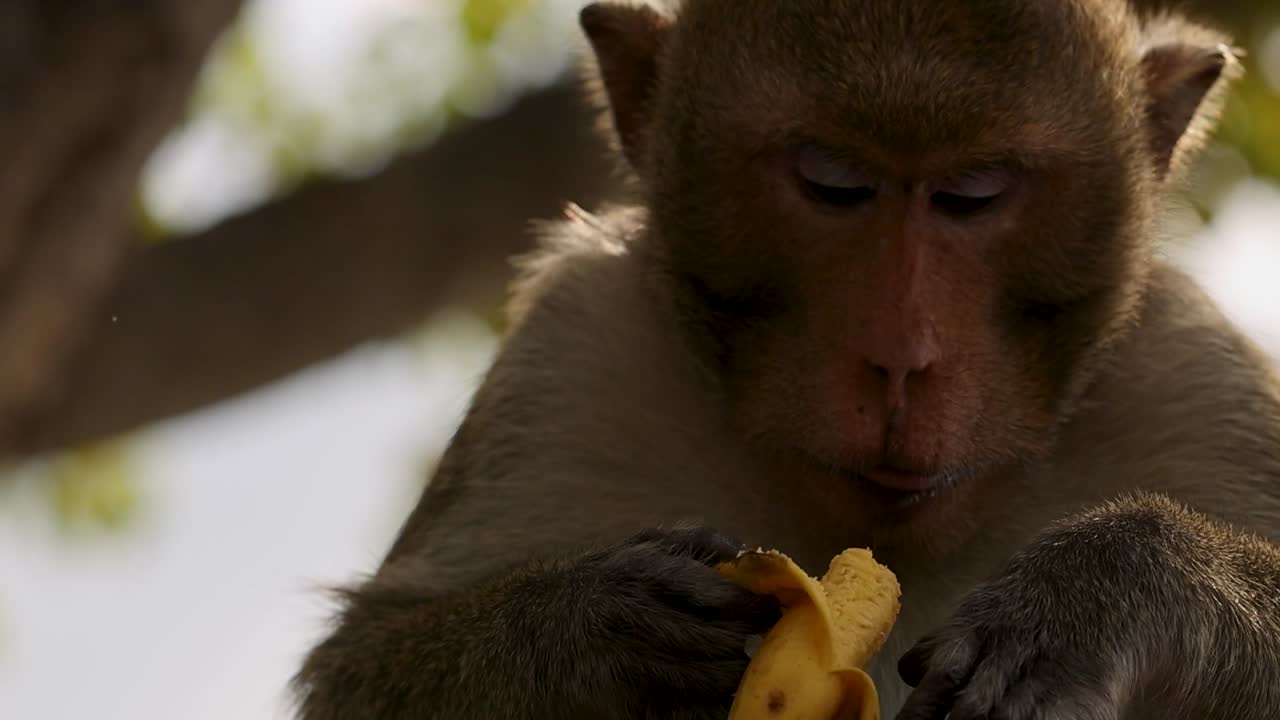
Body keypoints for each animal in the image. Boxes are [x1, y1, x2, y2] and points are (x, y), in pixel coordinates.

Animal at [292, 1, 1280, 718]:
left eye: (974, 193)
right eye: (831, 184)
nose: (901, 359)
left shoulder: (1188, 370)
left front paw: (1096, 597)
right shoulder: (577, 343)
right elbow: (359, 667)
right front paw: (595, 631)